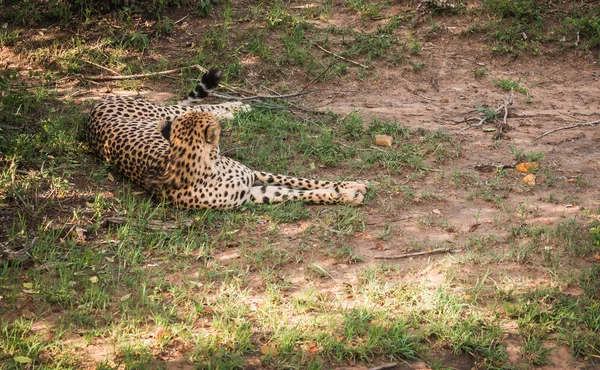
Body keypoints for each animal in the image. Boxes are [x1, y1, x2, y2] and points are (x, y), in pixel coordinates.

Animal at [86, 68, 368, 210]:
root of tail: (94, 109)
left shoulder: (253, 177)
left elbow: (303, 181)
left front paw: (350, 184)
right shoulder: (252, 194)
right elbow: (297, 193)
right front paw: (346, 194)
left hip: (162, 114)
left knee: (193, 106)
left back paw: (237, 106)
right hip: (162, 114)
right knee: (193, 107)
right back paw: (237, 107)